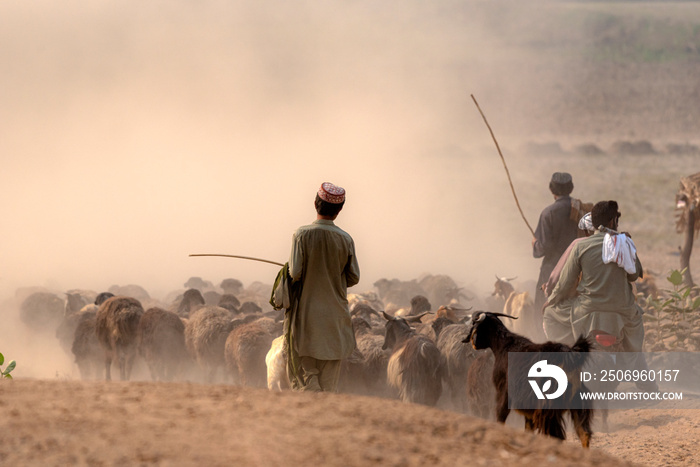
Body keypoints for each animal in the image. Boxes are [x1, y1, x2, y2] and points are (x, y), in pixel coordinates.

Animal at [462, 312, 592, 448]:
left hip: (548, 407)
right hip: (577, 403)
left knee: (557, 436)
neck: (504, 345)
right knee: (584, 433)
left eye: (474, 324)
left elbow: (501, 415)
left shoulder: (504, 391)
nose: (473, 343)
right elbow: (528, 429)